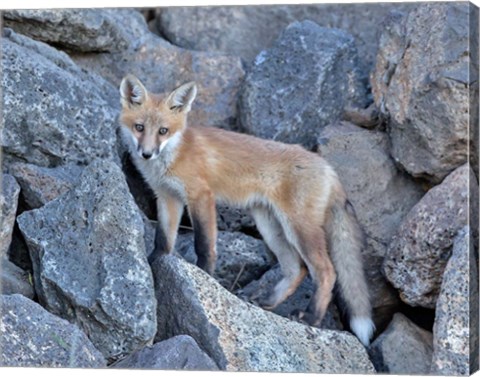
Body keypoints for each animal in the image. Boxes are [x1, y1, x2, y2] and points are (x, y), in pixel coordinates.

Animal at [119, 74, 376, 346]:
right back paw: (268, 302)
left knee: (326, 272)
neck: (174, 154)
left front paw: (204, 278)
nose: (146, 154)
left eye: (163, 131)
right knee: (297, 269)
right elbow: (163, 241)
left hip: (298, 227)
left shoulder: (201, 196)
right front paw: (151, 266)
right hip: (269, 226)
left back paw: (312, 318)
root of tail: (328, 167)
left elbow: (204, 246)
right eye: (139, 127)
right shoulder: (168, 197)